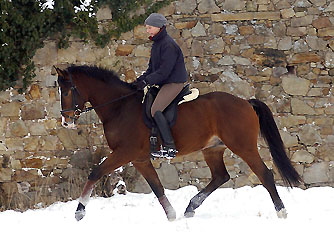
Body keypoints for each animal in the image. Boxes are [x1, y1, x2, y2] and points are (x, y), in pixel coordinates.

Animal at [54, 65, 300, 221]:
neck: (119, 107)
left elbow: (95, 172)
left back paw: (282, 212)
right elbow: (157, 187)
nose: (66, 121)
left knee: (264, 174)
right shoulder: (139, 159)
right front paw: (172, 216)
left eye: (66, 91)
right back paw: (190, 208)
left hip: (243, 147)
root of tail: (245, 102)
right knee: (220, 176)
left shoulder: (125, 152)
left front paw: (79, 211)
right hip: (212, 149)